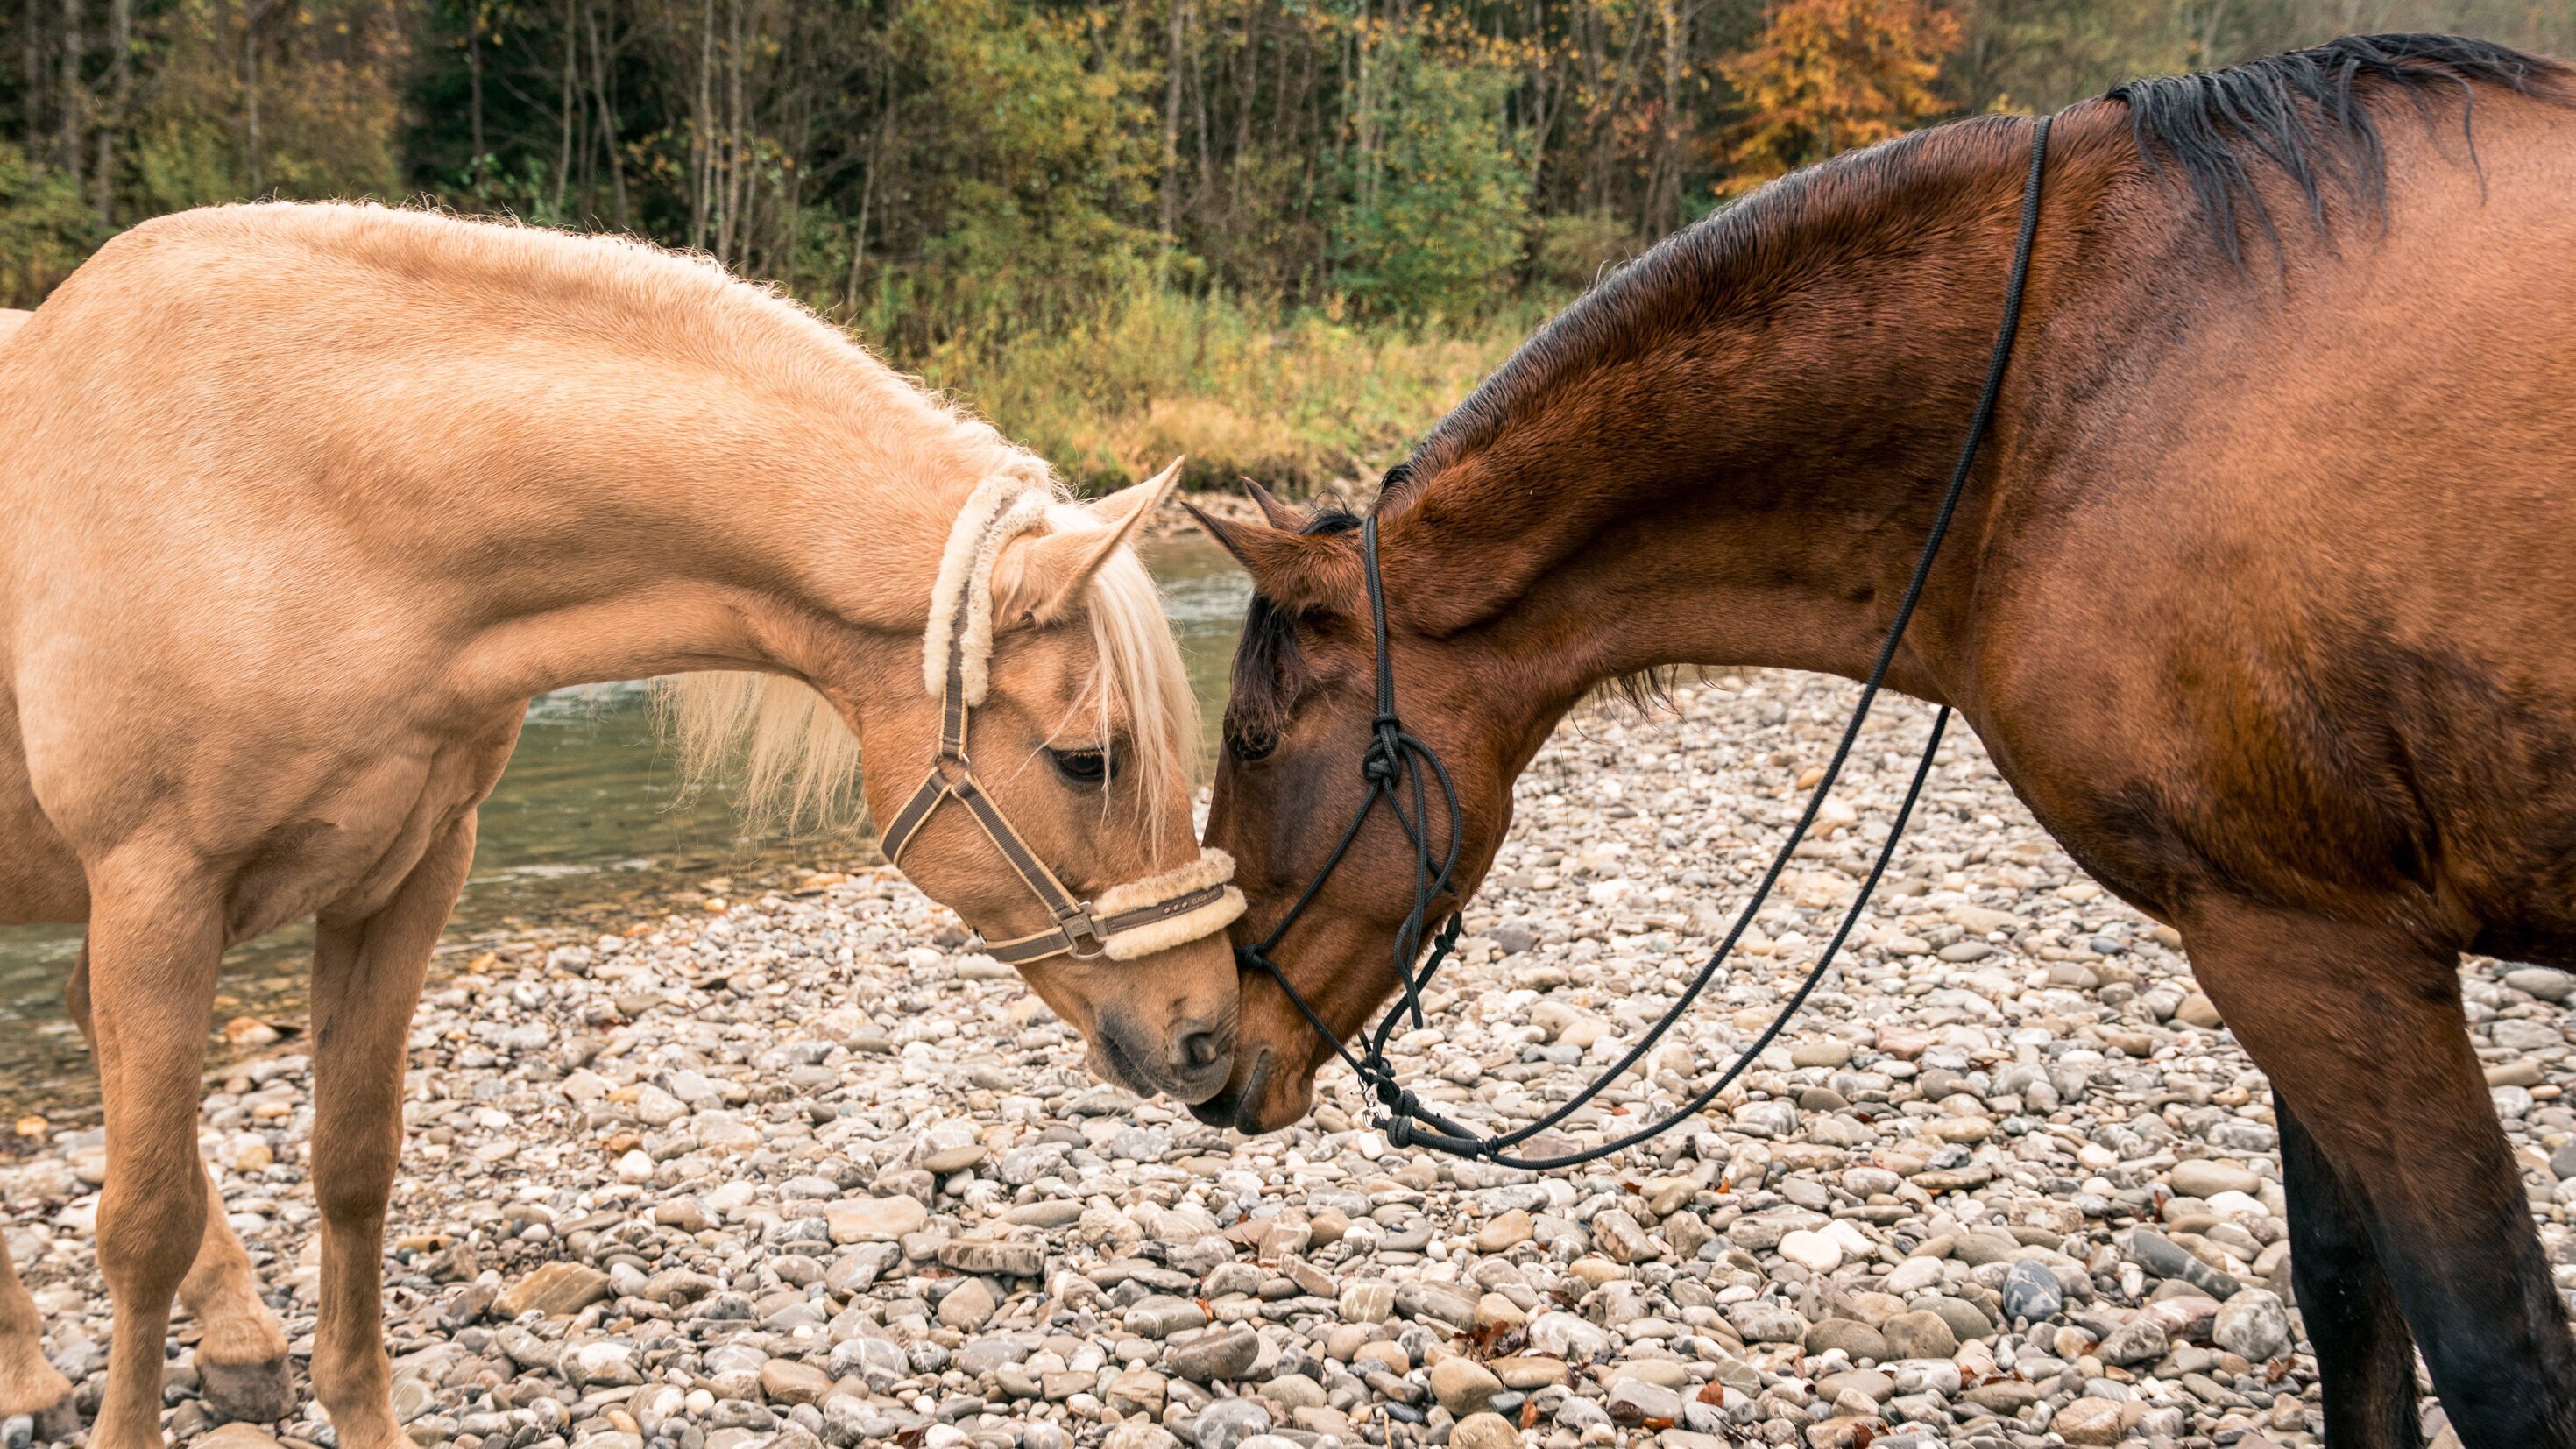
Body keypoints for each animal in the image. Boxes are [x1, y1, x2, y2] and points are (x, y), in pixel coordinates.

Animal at [0, 209, 1246, 1441]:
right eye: (1088, 758)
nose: (1207, 1033)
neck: (291, 490)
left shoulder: (404, 878)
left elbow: (354, 1165)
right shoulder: (158, 887)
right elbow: (143, 1222)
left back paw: (234, 1341)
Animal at [1195, 31, 2576, 1449]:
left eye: (1249, 738)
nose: (1200, 1043)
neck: (2066, 390)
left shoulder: (2321, 949)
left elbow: (2496, 1353)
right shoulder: (2287, 933)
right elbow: (2350, 1300)